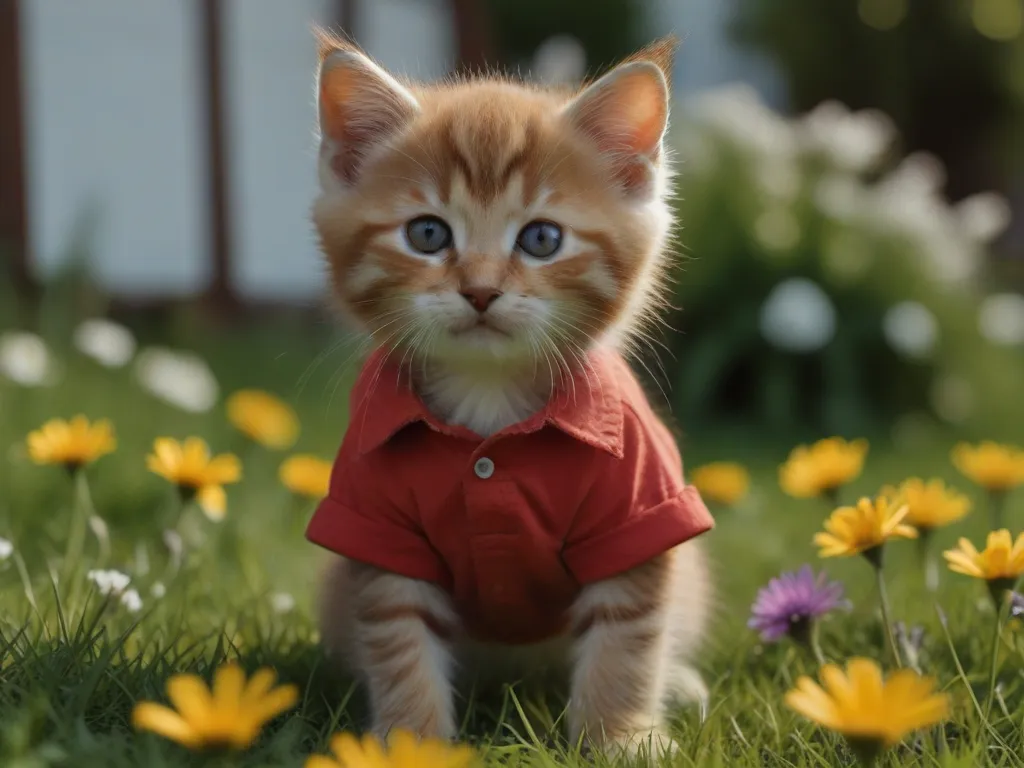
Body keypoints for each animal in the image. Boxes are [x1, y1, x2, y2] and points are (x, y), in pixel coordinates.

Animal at [307, 30, 716, 757]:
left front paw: (620, 740)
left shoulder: (639, 508)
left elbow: (628, 637)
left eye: (542, 239)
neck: (490, 401)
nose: (480, 290)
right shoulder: (376, 524)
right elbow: (399, 638)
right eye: (428, 233)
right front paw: (412, 744)